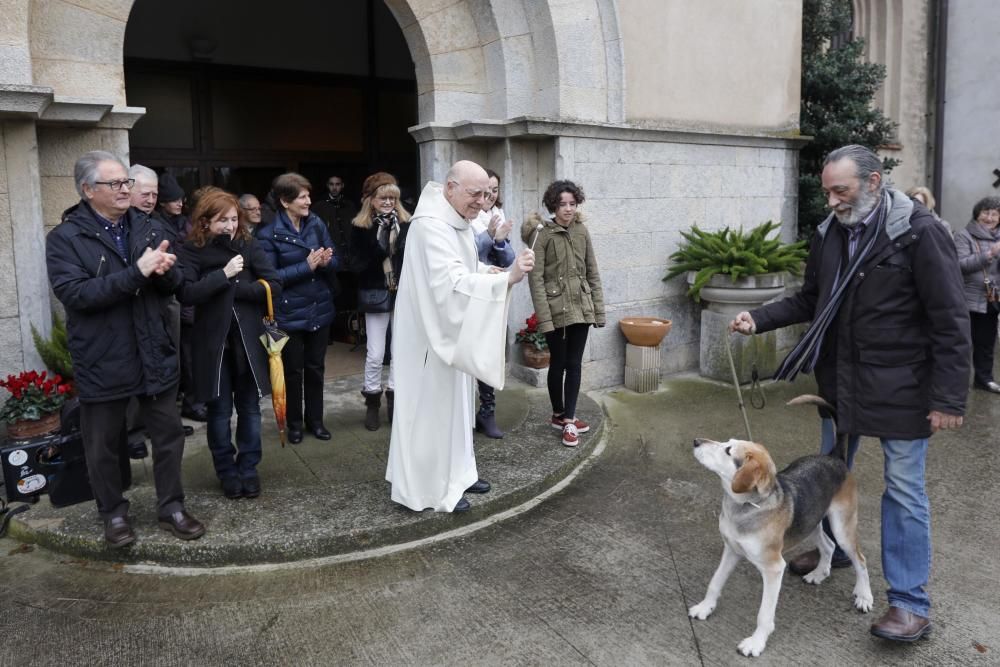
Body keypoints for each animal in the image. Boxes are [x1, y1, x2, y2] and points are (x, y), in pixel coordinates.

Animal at [692, 396, 872, 656]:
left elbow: (764, 614)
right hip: (811, 523)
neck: (747, 507)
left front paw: (756, 642)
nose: (695, 441)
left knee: (860, 559)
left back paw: (864, 596)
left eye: (727, 450)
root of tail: (834, 456)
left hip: (842, 527)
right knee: (828, 546)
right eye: (727, 443)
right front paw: (705, 607)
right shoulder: (732, 550)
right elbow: (715, 582)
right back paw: (819, 573)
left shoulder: (774, 569)